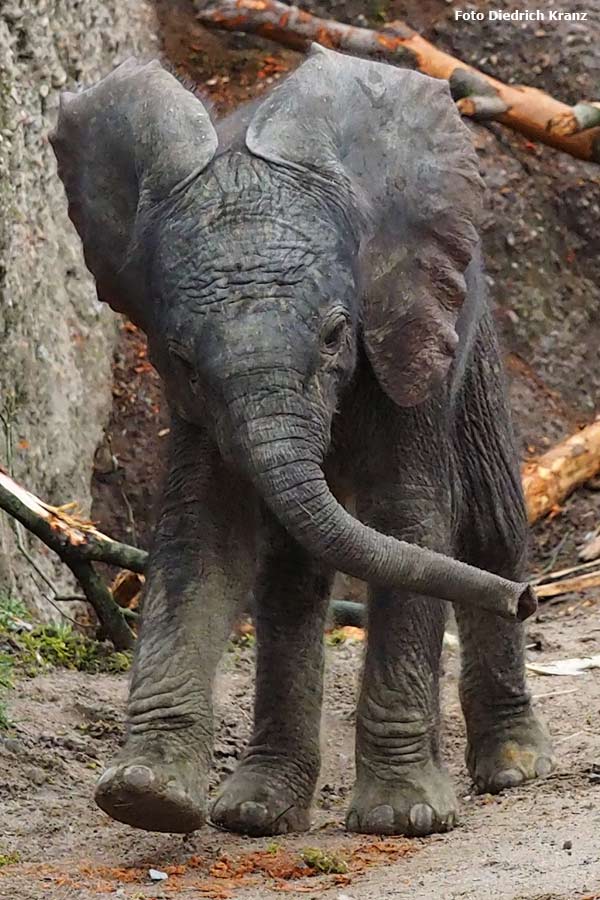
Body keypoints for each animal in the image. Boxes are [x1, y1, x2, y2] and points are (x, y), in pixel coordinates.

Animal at [51, 47, 552, 836]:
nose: (528, 601)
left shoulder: (404, 331)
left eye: (335, 335)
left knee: (489, 524)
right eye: (182, 359)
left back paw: (514, 766)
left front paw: (402, 818)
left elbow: (410, 520)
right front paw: (145, 797)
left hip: (469, 344)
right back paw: (259, 810)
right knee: (291, 576)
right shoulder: (197, 408)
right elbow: (203, 537)